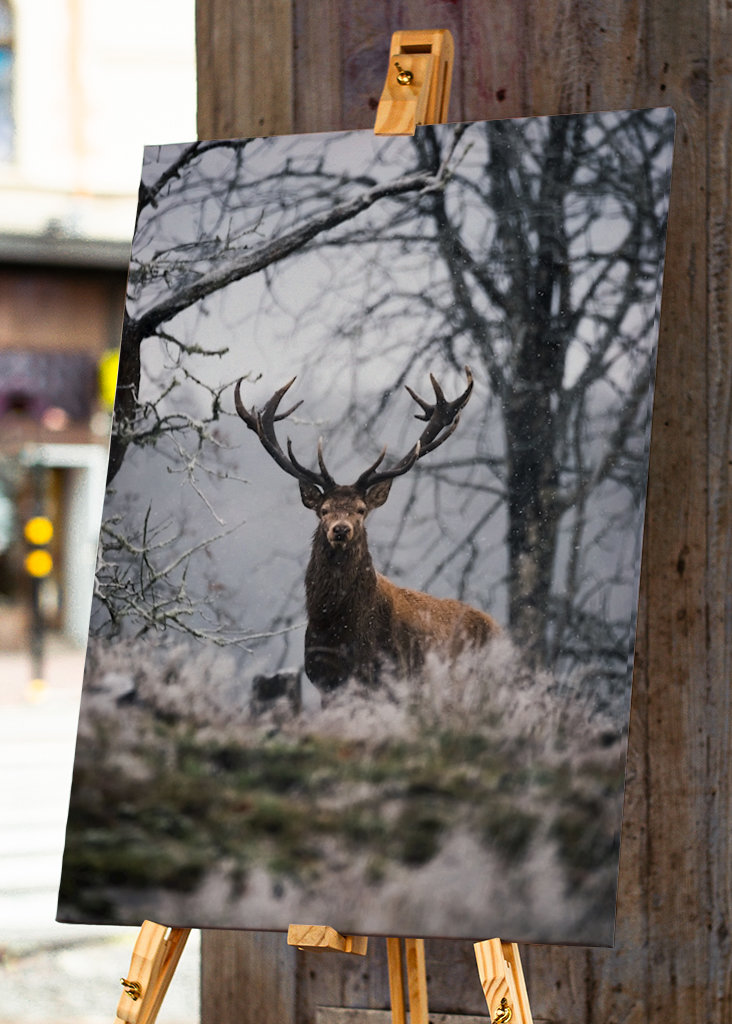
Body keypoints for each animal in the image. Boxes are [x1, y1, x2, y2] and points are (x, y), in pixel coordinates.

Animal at [235, 366, 500, 697]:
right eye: (324, 510)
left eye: (361, 510)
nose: (340, 529)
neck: (339, 630)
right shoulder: (325, 681)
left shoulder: (390, 676)